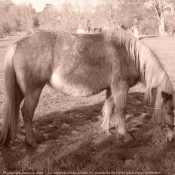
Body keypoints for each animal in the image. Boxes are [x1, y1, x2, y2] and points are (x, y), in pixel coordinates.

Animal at [0, 28, 175, 146]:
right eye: (168, 112)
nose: (172, 139)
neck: (128, 54)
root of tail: (18, 44)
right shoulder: (120, 86)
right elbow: (122, 110)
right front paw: (125, 135)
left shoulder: (112, 88)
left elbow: (109, 108)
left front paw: (106, 130)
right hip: (33, 90)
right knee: (26, 112)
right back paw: (32, 142)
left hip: (19, 91)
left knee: (15, 109)